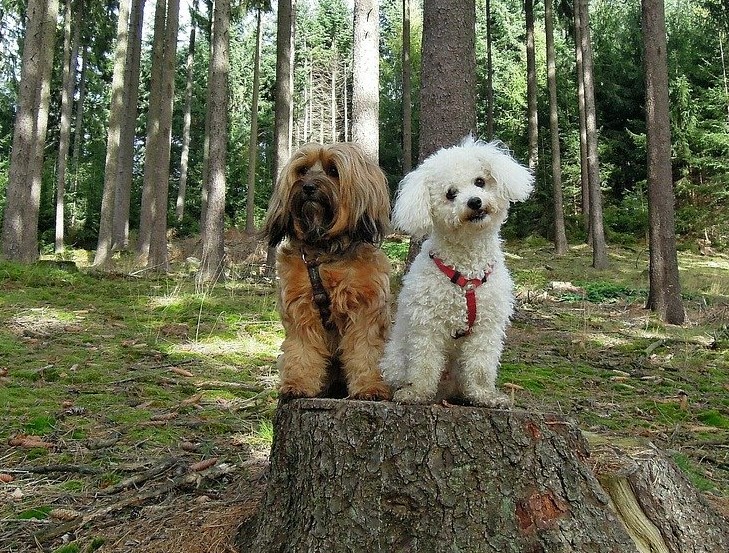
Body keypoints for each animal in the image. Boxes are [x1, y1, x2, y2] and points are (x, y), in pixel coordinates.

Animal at [258, 144, 390, 398]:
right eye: (302, 170)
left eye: (333, 171)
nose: (308, 187)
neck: (326, 252)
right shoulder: (300, 306)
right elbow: (303, 349)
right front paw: (298, 383)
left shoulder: (366, 308)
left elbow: (365, 350)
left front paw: (370, 386)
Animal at [384, 137, 532, 406]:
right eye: (450, 194)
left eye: (480, 182)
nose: (474, 201)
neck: (467, 271)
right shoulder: (426, 324)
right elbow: (424, 363)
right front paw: (417, 392)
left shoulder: (486, 329)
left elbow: (481, 365)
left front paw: (485, 395)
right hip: (395, 358)